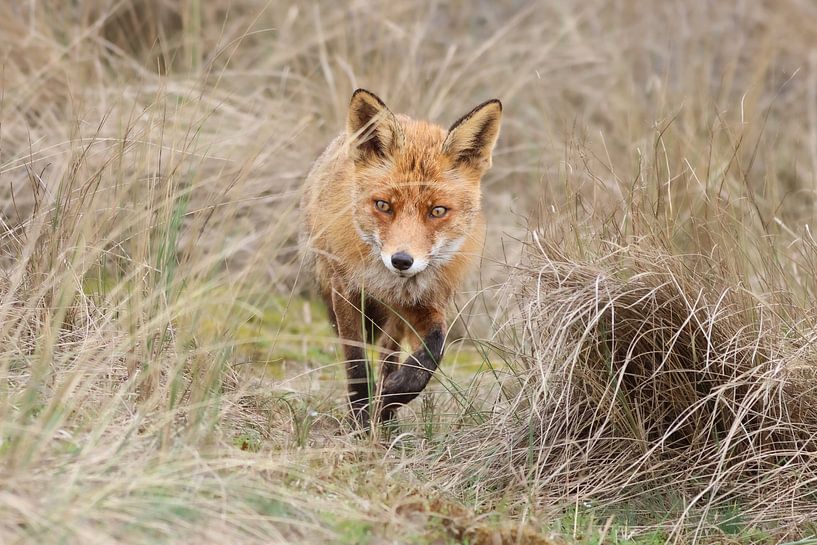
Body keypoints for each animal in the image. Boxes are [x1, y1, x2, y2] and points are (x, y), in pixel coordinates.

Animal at [300, 89, 502, 426]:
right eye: (383, 205)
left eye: (437, 211)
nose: (402, 261)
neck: (391, 284)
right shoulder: (345, 290)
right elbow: (356, 363)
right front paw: (361, 417)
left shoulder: (427, 303)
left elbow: (433, 350)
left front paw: (393, 396)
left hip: (395, 319)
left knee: (389, 352)